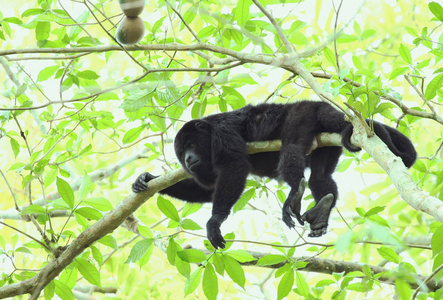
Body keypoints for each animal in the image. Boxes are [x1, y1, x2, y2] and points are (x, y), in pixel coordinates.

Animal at [131, 101, 416, 248]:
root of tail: (318, 104)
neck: (208, 132)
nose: (188, 160)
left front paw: (214, 222)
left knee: (292, 149)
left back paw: (295, 192)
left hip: (302, 115)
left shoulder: (222, 132)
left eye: (191, 145)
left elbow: (234, 166)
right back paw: (322, 211)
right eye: (182, 151)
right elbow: (206, 189)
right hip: (327, 143)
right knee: (320, 177)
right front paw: (146, 179)